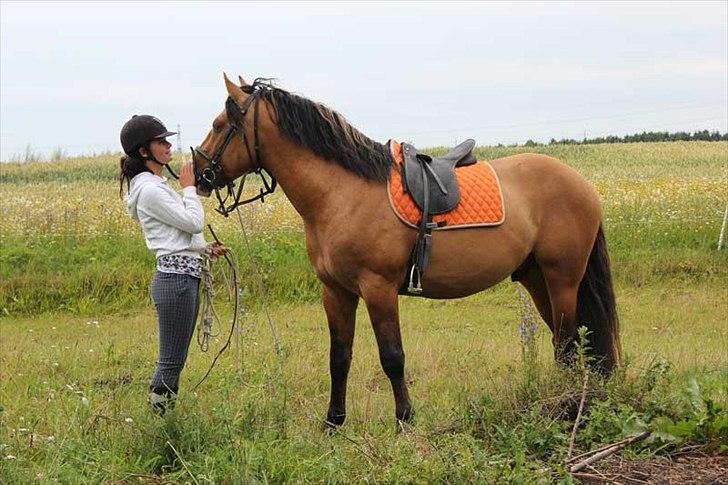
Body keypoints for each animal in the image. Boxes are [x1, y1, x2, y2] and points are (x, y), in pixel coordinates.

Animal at [192, 73, 620, 426]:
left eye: (219, 125)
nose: (198, 174)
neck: (342, 193)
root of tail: (582, 184)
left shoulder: (378, 289)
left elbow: (392, 357)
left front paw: (405, 420)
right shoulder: (336, 292)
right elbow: (339, 358)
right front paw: (334, 422)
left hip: (562, 277)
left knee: (570, 339)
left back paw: (566, 404)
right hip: (535, 277)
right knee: (565, 341)